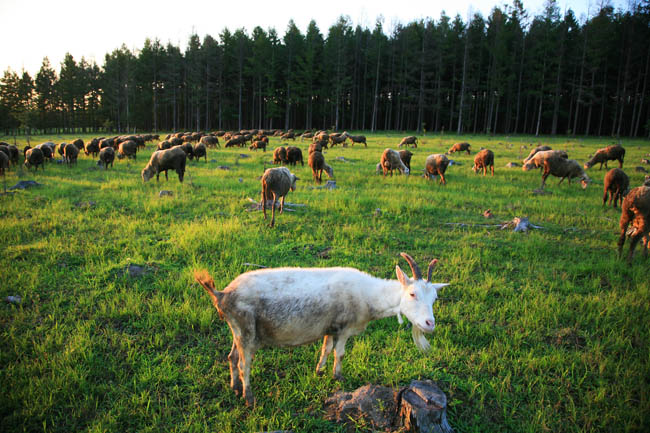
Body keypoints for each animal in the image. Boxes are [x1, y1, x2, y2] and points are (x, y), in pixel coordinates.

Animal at [192, 251, 446, 406]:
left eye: (434, 298)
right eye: (412, 294)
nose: (430, 324)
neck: (369, 296)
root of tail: (222, 295)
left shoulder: (330, 328)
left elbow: (325, 349)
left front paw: (320, 371)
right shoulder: (344, 328)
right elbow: (340, 353)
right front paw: (338, 377)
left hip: (236, 331)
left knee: (232, 357)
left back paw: (234, 388)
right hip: (246, 332)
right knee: (244, 364)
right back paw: (249, 397)